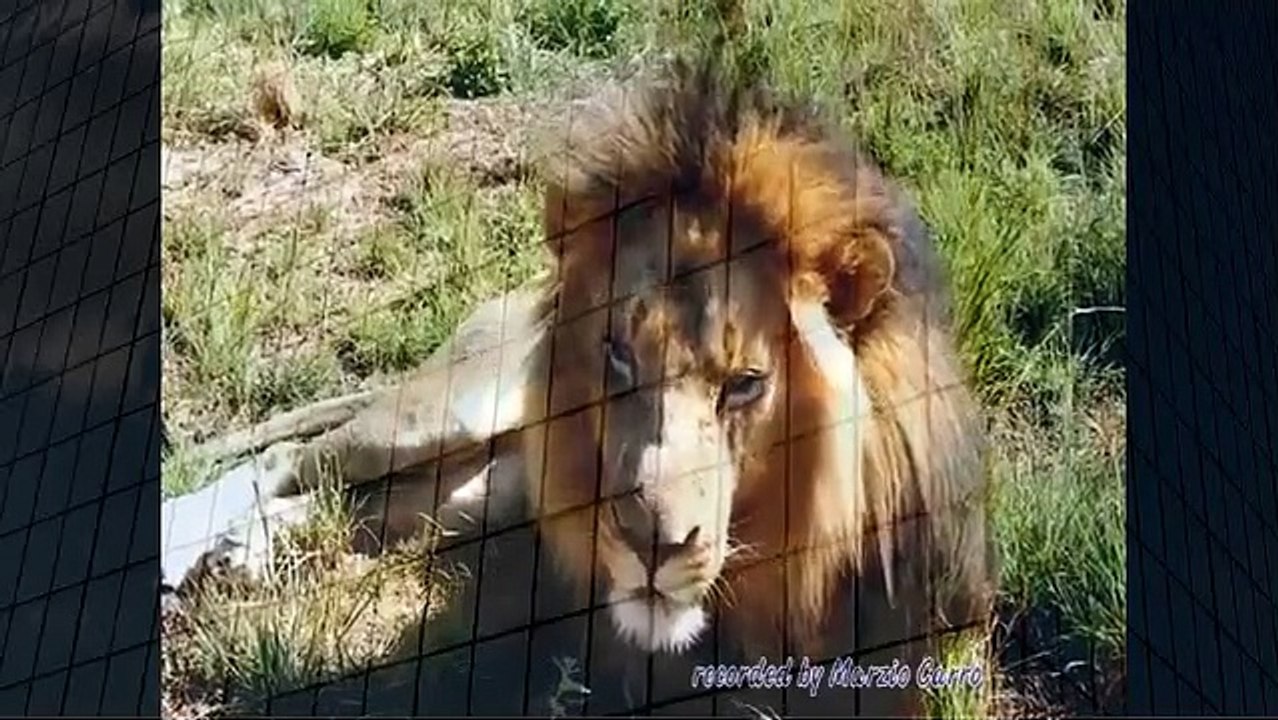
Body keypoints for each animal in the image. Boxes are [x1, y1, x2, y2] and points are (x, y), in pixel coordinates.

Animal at [162, 57, 993, 717]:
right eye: (617, 355)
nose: (647, 545)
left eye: (746, 384)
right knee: (291, 461)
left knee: (356, 505)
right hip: (447, 412)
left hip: (483, 493)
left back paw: (239, 553)